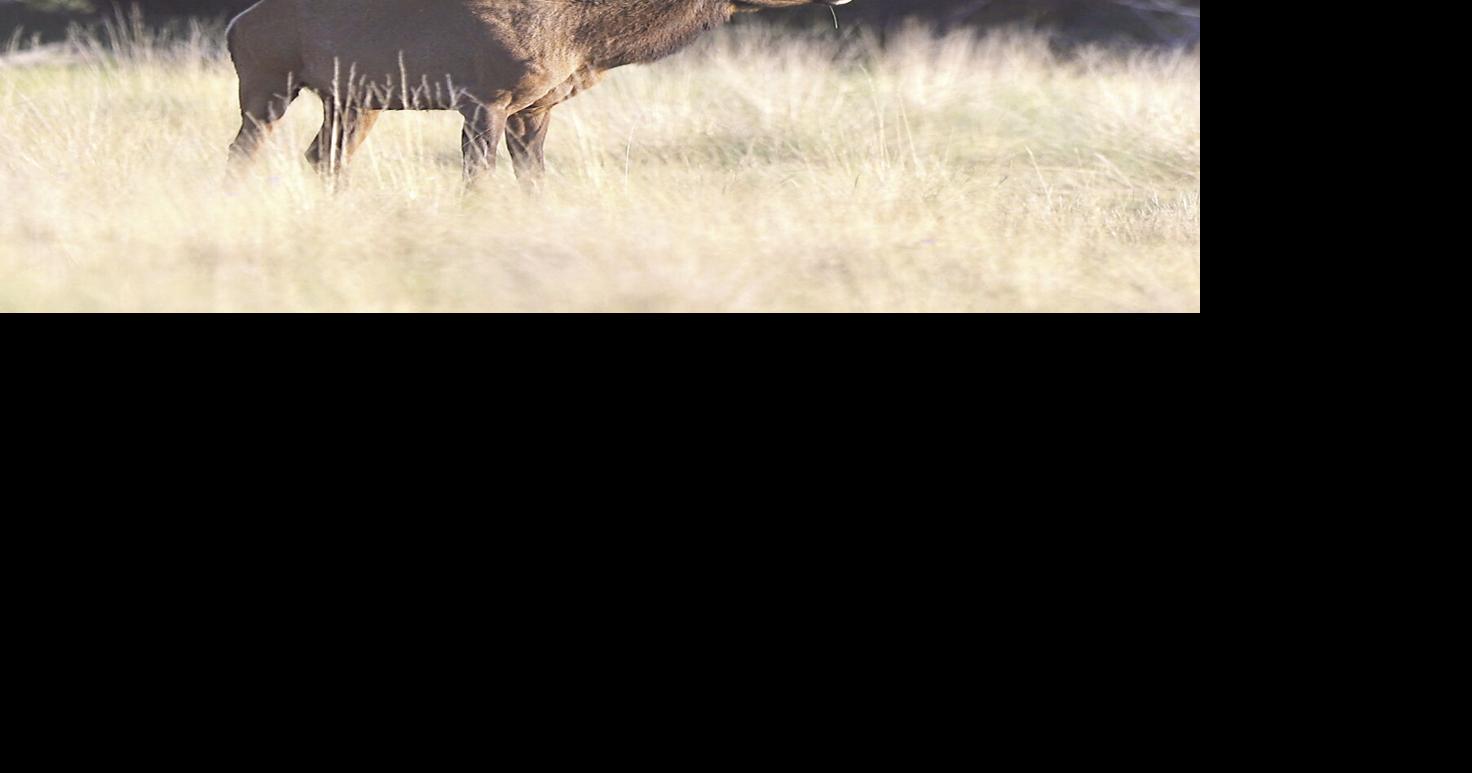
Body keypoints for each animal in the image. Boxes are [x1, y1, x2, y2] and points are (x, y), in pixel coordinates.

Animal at [226, 1, 853, 181]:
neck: (582, 42)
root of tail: (234, 25)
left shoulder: (534, 106)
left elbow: (534, 176)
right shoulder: (485, 95)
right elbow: (478, 174)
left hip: (354, 98)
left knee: (323, 157)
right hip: (267, 81)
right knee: (242, 149)